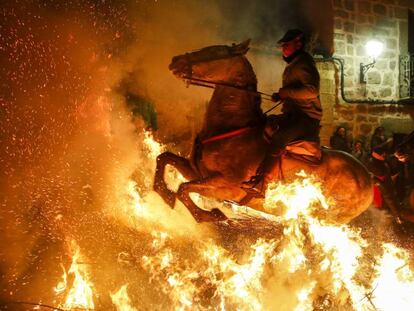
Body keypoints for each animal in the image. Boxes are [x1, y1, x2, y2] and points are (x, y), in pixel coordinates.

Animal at [154, 40, 374, 224]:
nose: (176, 61)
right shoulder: (196, 171)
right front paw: (164, 192)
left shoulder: (225, 187)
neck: (233, 128)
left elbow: (183, 189)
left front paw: (210, 215)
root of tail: (369, 179)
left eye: (213, 52)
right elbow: (164, 158)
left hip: (327, 219)